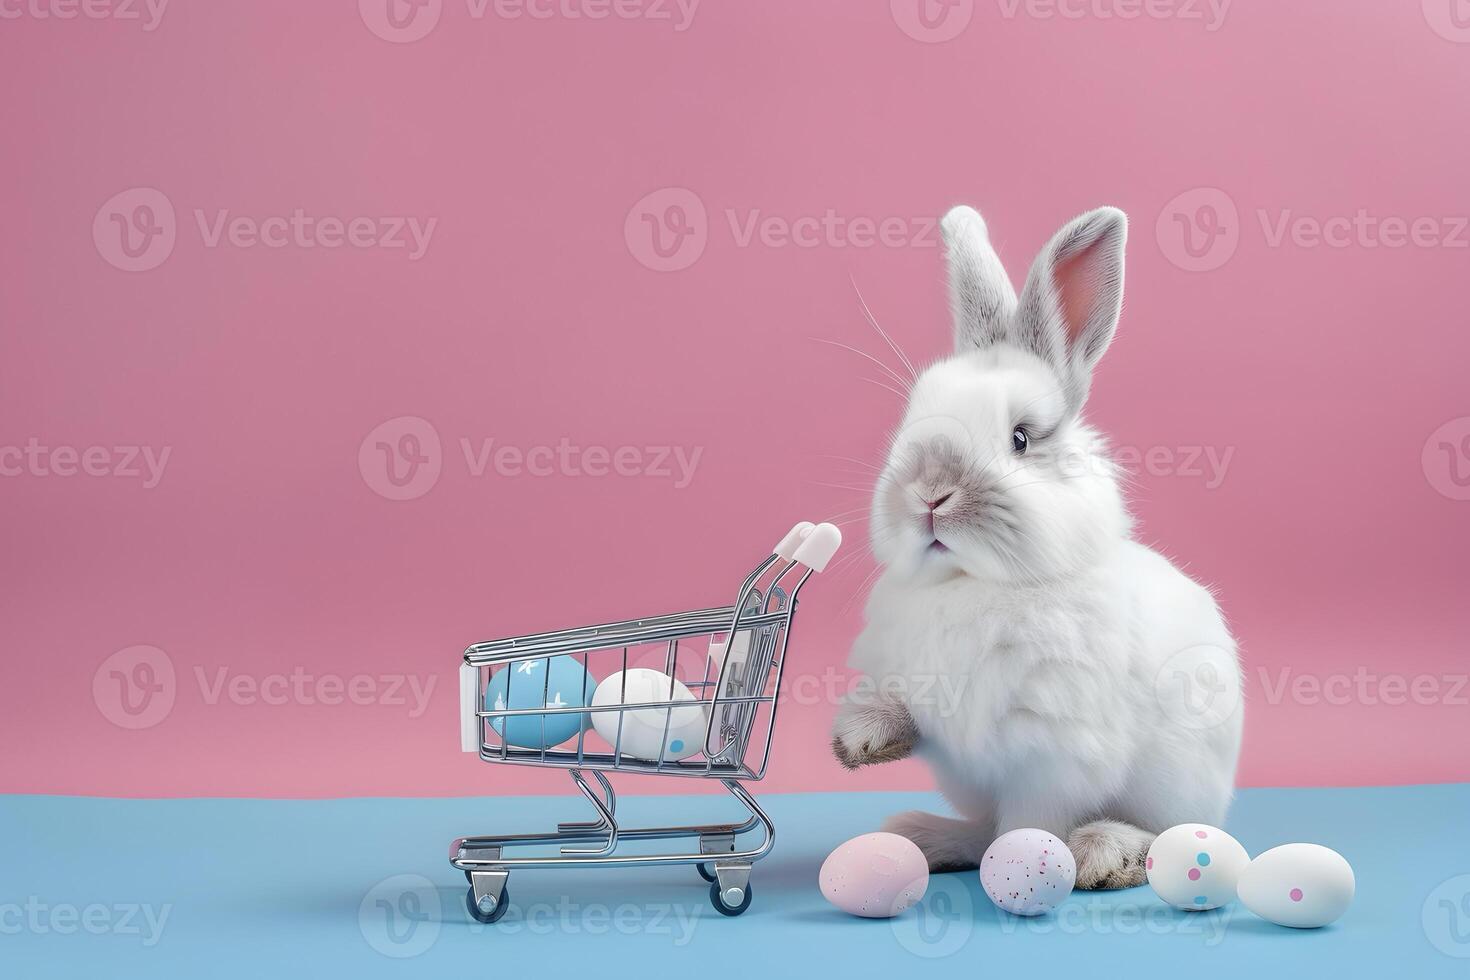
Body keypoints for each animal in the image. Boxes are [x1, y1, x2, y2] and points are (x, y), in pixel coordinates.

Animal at [829, 205, 1240, 887]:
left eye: (1021, 438)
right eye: (912, 421)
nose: (929, 495)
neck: (973, 585)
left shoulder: (1051, 756)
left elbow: (1031, 820)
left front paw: (1027, 866)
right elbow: (900, 711)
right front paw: (859, 740)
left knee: (1173, 834)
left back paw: (1108, 852)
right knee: (978, 828)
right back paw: (923, 835)